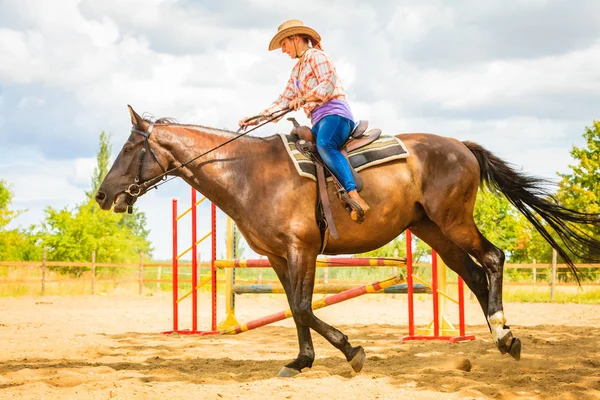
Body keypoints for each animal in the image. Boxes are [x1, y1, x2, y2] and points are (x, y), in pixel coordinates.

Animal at [95, 106, 600, 378]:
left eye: (129, 149)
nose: (102, 196)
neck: (249, 172)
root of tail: (460, 145)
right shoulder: (277, 257)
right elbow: (296, 309)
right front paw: (302, 361)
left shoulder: (301, 249)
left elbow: (302, 308)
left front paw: (352, 352)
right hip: (432, 230)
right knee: (475, 275)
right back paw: (500, 337)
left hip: (453, 221)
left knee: (493, 259)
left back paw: (507, 336)